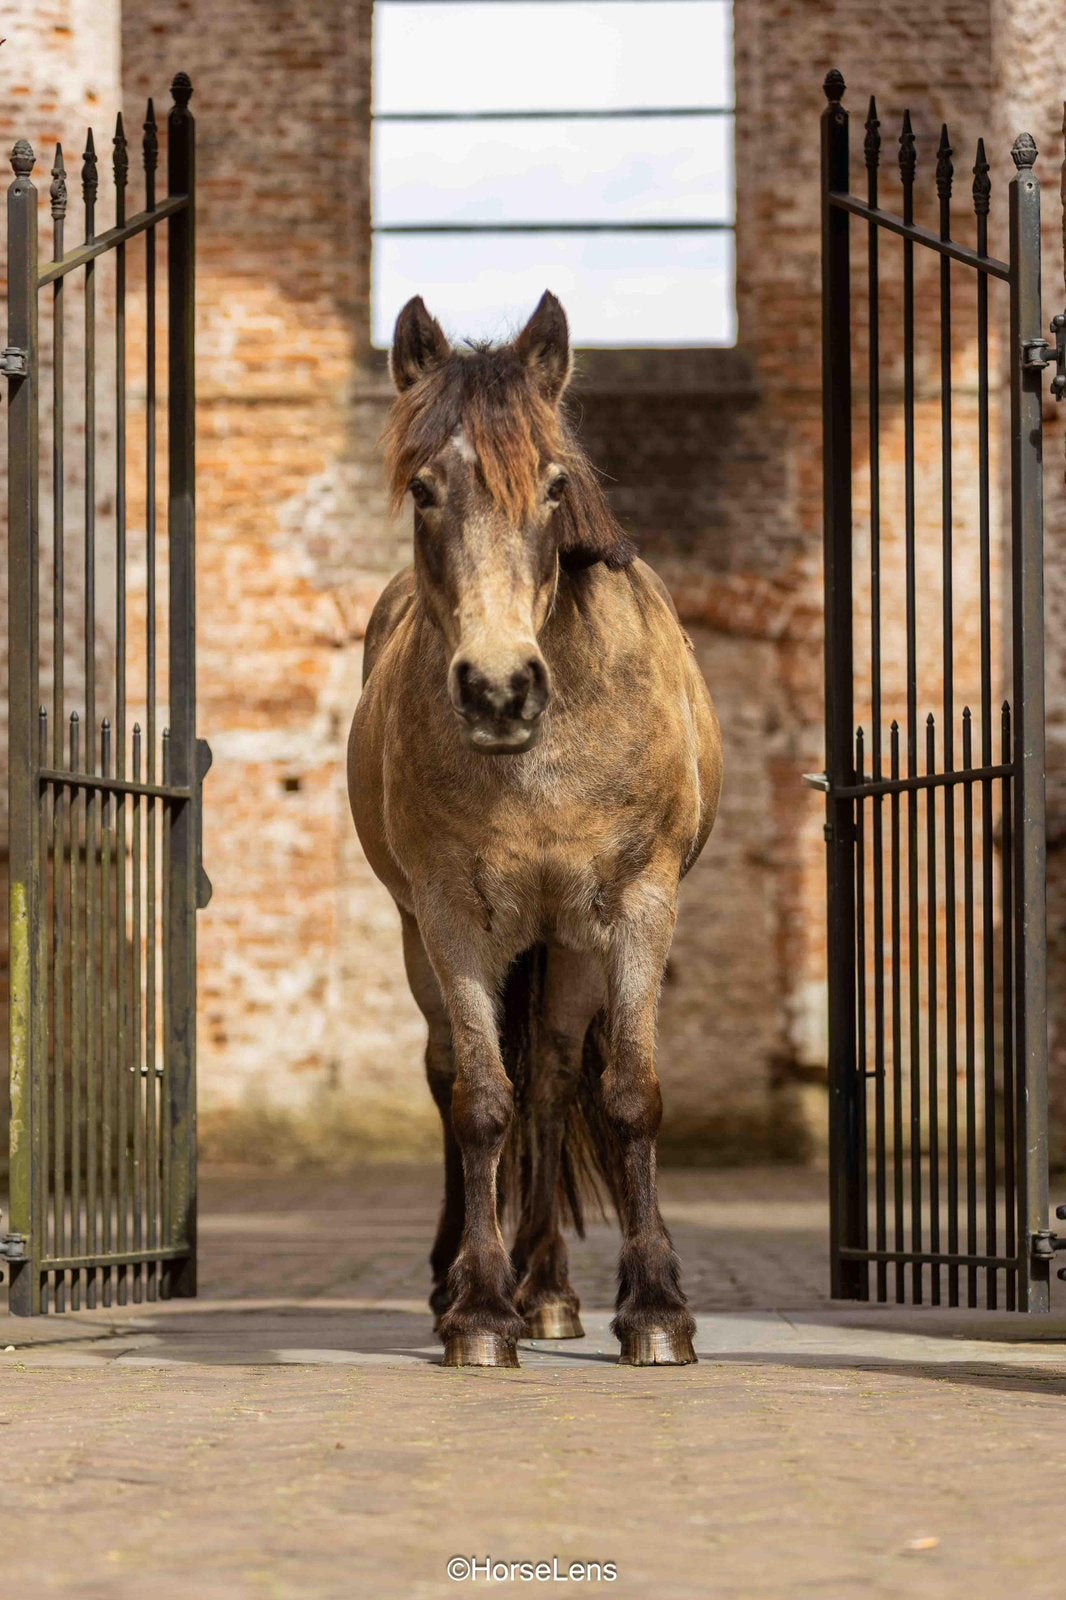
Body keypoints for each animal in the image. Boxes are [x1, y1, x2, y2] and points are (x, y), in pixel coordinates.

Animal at [348, 291, 723, 1367]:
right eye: (424, 489)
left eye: (555, 487)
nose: (499, 689)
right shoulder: (450, 916)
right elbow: (480, 1100)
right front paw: (478, 1312)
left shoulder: (637, 906)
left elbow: (630, 1093)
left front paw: (655, 1308)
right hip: (429, 940)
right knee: (456, 1074)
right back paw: (472, 1283)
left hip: (568, 945)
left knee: (554, 1080)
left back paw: (551, 1288)